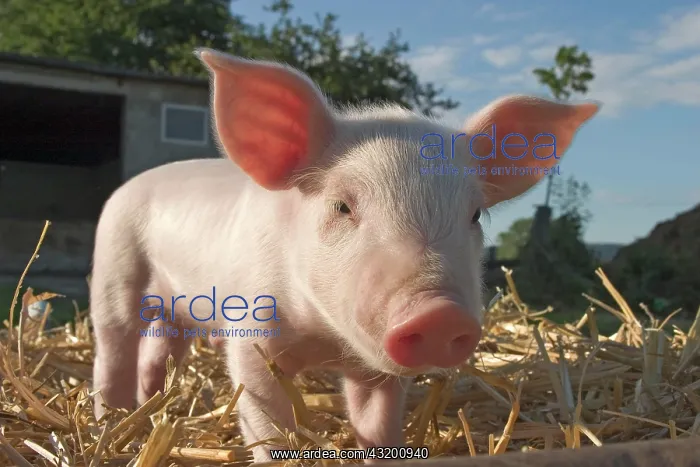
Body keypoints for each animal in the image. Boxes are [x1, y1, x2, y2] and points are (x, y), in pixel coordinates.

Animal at [89, 48, 599, 462]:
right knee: (115, 341)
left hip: (175, 308)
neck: (326, 341)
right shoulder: (252, 336)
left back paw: (153, 403)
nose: (439, 312)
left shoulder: (379, 374)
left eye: (474, 214)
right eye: (342, 206)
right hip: (115, 262)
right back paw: (111, 417)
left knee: (161, 350)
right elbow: (268, 421)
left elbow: (377, 424)